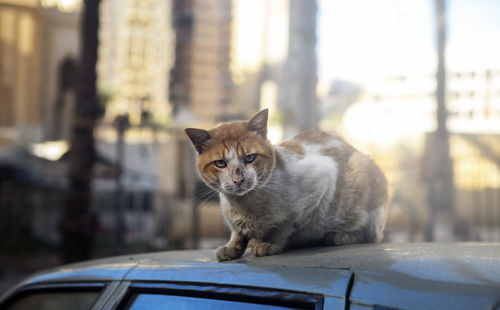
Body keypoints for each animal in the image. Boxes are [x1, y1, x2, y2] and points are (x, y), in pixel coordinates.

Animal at [186, 109, 388, 262]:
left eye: (249, 158)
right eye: (220, 163)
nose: (238, 180)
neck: (245, 206)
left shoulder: (322, 181)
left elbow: (284, 225)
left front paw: (268, 243)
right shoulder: (235, 222)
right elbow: (237, 234)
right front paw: (232, 248)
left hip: (361, 178)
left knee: (370, 236)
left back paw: (338, 236)